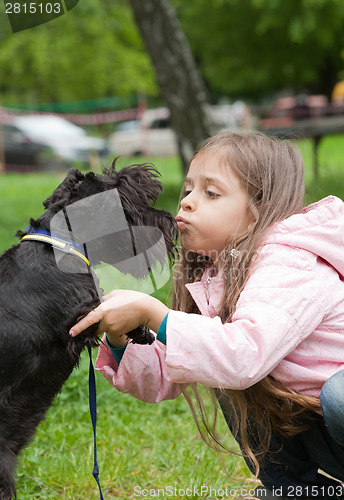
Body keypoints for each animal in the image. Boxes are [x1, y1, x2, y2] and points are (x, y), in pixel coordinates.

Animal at [0, 161, 176, 500]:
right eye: (129, 201)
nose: (169, 221)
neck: (61, 249)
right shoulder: (78, 319)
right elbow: (105, 304)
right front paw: (142, 327)